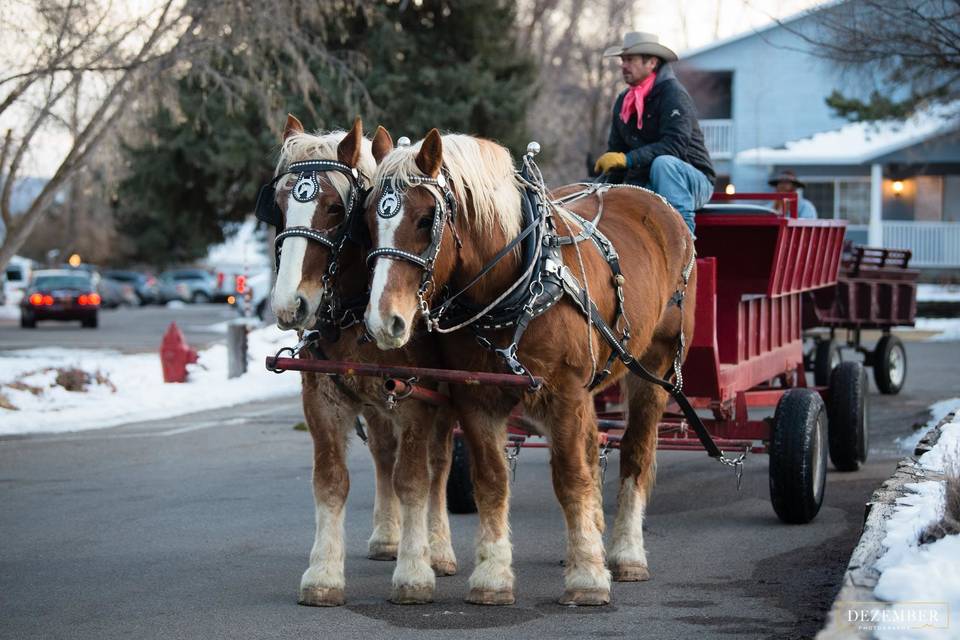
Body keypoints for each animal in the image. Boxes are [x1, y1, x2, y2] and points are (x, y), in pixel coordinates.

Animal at [262, 114, 458, 604]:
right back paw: (388, 538)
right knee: (384, 455)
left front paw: (414, 572)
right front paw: (323, 573)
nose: (290, 305)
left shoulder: (417, 401)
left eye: (335, 209)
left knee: (439, 466)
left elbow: (415, 480)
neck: (355, 314)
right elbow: (332, 481)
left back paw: (438, 549)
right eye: (278, 206)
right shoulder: (323, 398)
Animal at [364, 129, 692, 604]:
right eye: (367, 220)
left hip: (655, 366)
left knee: (635, 451)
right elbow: (491, 480)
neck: (515, 288)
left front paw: (587, 578)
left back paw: (626, 554)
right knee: (594, 447)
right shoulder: (476, 398)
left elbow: (571, 477)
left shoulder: (565, 393)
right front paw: (493, 575)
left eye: (427, 220)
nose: (382, 320)